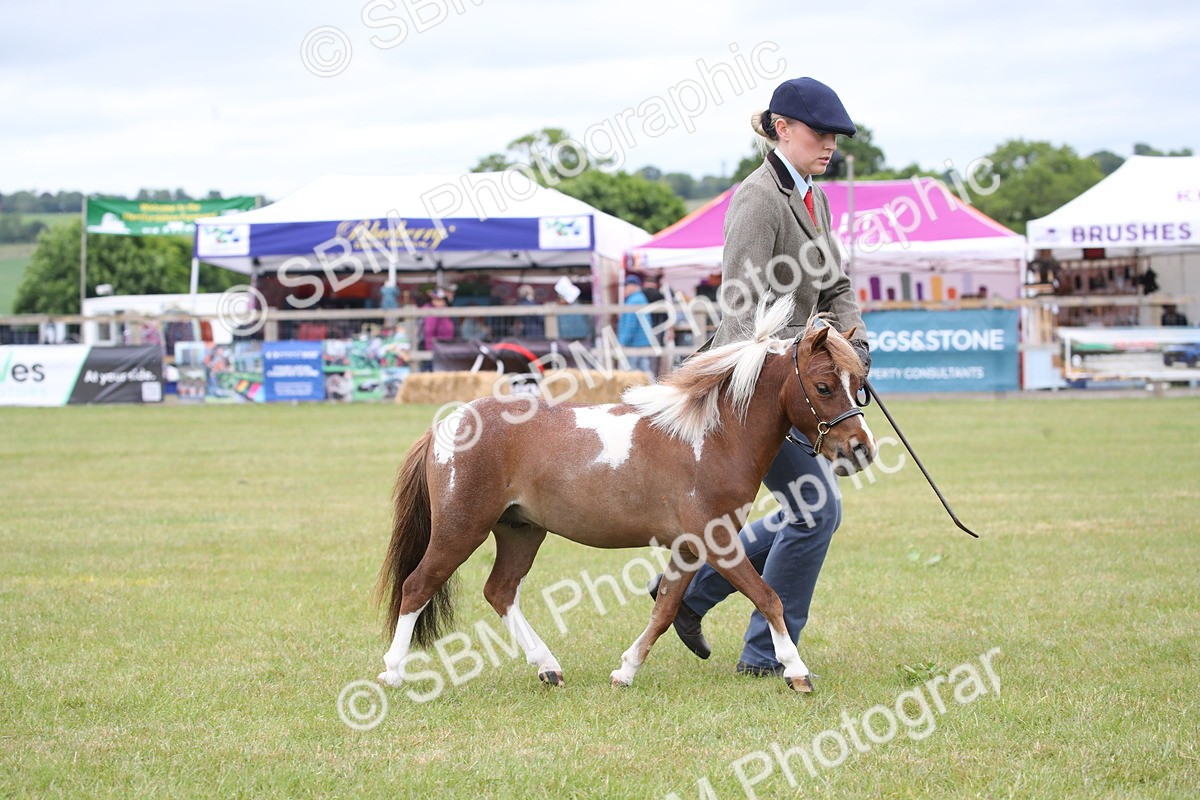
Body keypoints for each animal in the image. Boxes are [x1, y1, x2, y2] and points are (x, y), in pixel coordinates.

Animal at [373, 294, 877, 694]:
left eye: (859, 386)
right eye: (824, 386)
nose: (861, 449)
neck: (711, 438)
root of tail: (447, 424)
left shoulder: (689, 547)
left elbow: (666, 607)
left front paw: (626, 671)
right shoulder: (716, 542)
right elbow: (768, 597)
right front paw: (796, 671)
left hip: (520, 530)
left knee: (500, 591)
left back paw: (548, 667)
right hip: (462, 528)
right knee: (416, 586)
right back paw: (393, 672)